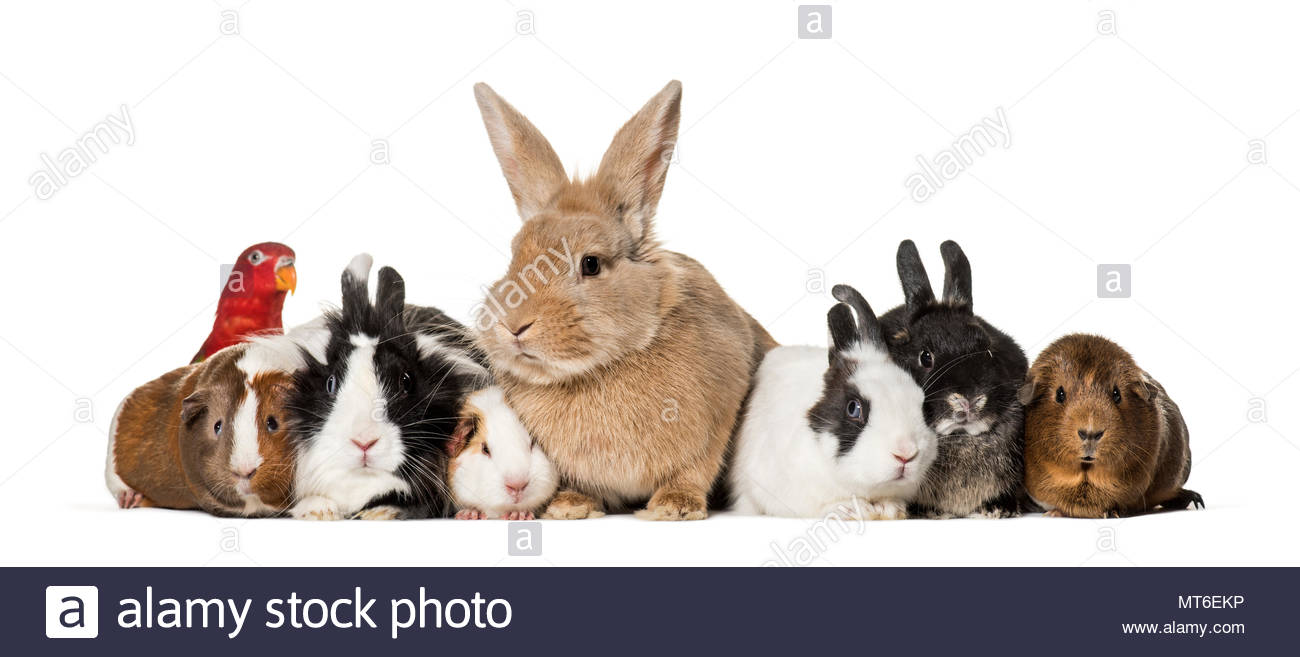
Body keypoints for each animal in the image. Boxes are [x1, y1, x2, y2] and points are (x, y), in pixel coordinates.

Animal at [471, 80, 777, 520]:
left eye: (591, 263)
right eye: (513, 257)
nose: (513, 325)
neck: (603, 367)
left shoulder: (718, 415)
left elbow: (695, 469)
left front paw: (674, 506)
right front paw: (569, 506)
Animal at [1019, 334, 1204, 518]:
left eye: (1117, 394)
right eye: (1060, 394)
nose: (1090, 433)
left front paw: (1111, 512)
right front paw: (1053, 513)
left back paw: (1195, 499)